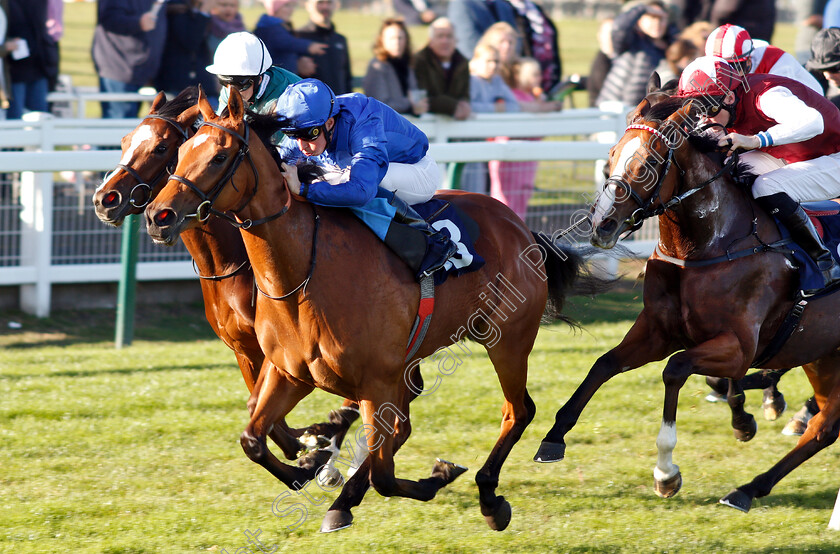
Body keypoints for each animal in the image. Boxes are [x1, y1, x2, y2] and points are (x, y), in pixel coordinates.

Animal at [92, 89, 360, 462]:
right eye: (125, 141)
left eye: (161, 148)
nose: (105, 199)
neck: (228, 266)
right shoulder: (245, 349)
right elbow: (265, 414)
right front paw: (307, 443)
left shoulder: (274, 351)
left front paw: (314, 442)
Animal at [143, 88, 592, 528]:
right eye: (180, 156)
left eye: (218, 157)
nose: (157, 216)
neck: (303, 277)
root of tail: (521, 228)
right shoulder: (290, 372)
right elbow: (253, 437)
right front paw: (308, 468)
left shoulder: (375, 382)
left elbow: (383, 473)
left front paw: (431, 476)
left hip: (506, 340)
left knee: (517, 411)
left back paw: (490, 499)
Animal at [536, 96, 840, 512]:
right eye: (611, 155)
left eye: (647, 164)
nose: (601, 226)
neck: (711, 245)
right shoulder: (657, 331)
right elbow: (604, 364)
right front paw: (553, 437)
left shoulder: (738, 348)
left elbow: (675, 369)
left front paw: (666, 472)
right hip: (822, 355)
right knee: (824, 428)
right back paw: (748, 488)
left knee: (823, 425)